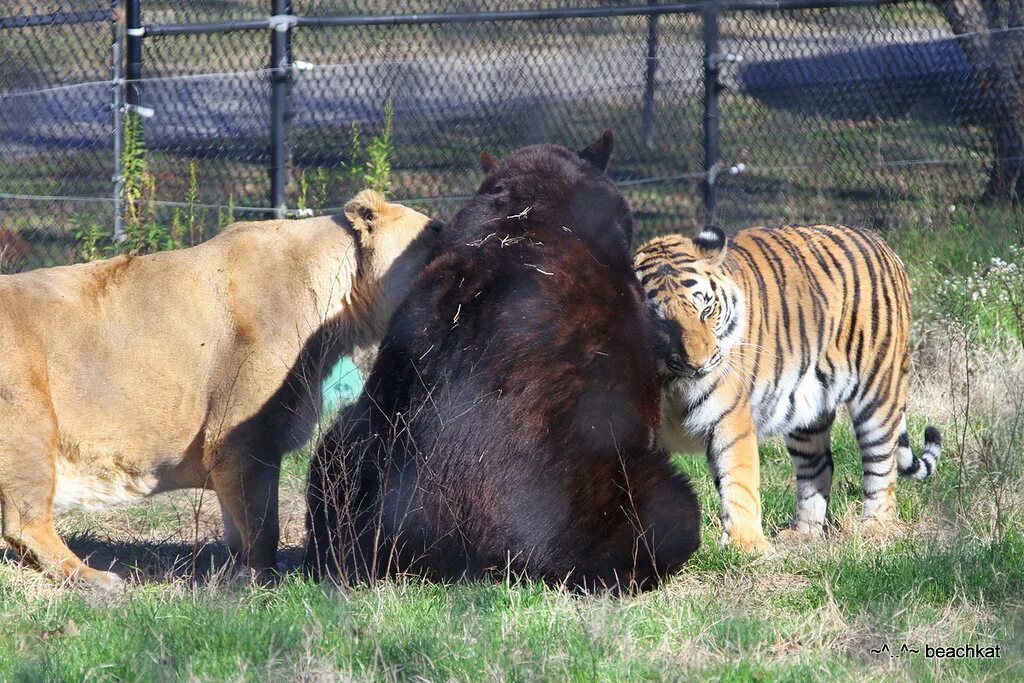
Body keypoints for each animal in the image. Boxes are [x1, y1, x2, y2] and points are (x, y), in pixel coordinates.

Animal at [634, 224, 937, 548]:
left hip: (878, 393)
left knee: (881, 464)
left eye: (706, 311)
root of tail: (879, 241)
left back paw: (876, 526)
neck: (668, 380)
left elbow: (738, 481)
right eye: (661, 323)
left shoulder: (728, 419)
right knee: (818, 468)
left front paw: (745, 546)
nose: (699, 364)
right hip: (808, 410)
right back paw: (803, 532)